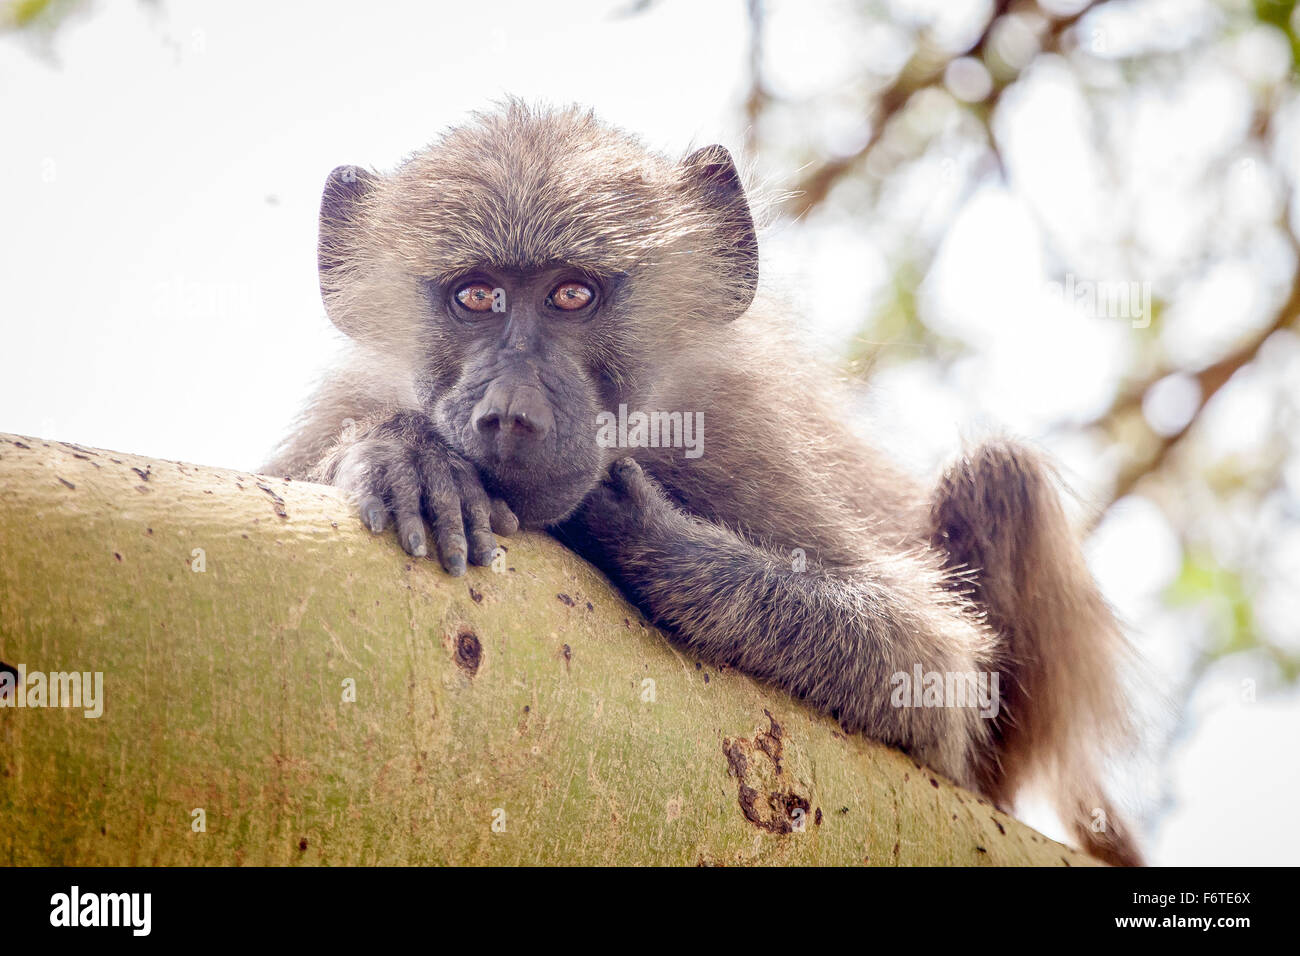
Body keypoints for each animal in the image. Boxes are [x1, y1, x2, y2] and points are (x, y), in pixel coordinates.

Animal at [265, 100, 1143, 866]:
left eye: (573, 293)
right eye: (475, 295)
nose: (509, 414)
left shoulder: (736, 425)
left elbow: (930, 673)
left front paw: (642, 530)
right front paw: (405, 454)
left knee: (999, 474)